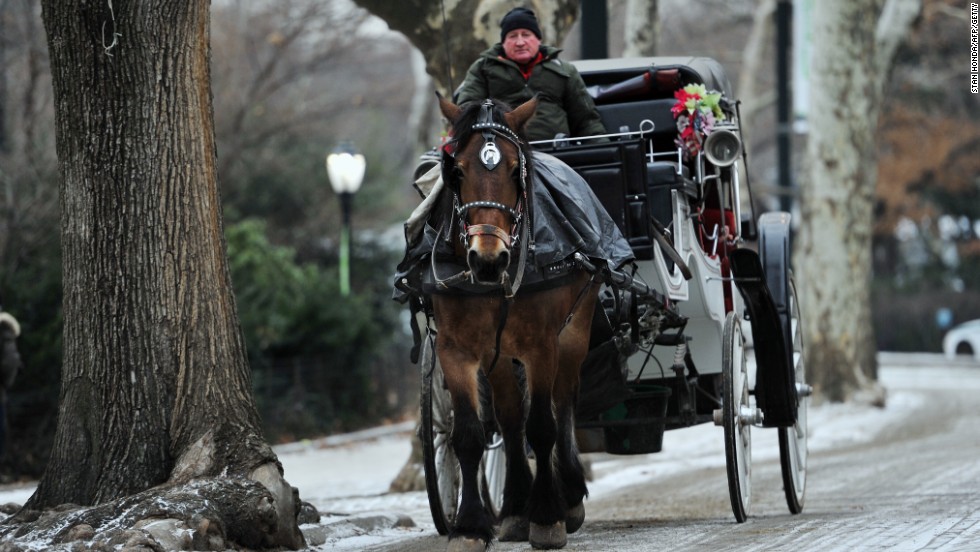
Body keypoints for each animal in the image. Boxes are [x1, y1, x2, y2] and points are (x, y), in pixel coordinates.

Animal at [431, 94, 599, 551]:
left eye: (513, 170)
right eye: (457, 171)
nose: (488, 260)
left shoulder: (543, 345)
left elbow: (541, 427)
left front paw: (547, 516)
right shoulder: (455, 350)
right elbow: (469, 435)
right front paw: (471, 525)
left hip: (575, 331)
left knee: (564, 403)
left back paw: (568, 494)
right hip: (499, 355)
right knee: (508, 420)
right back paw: (514, 508)